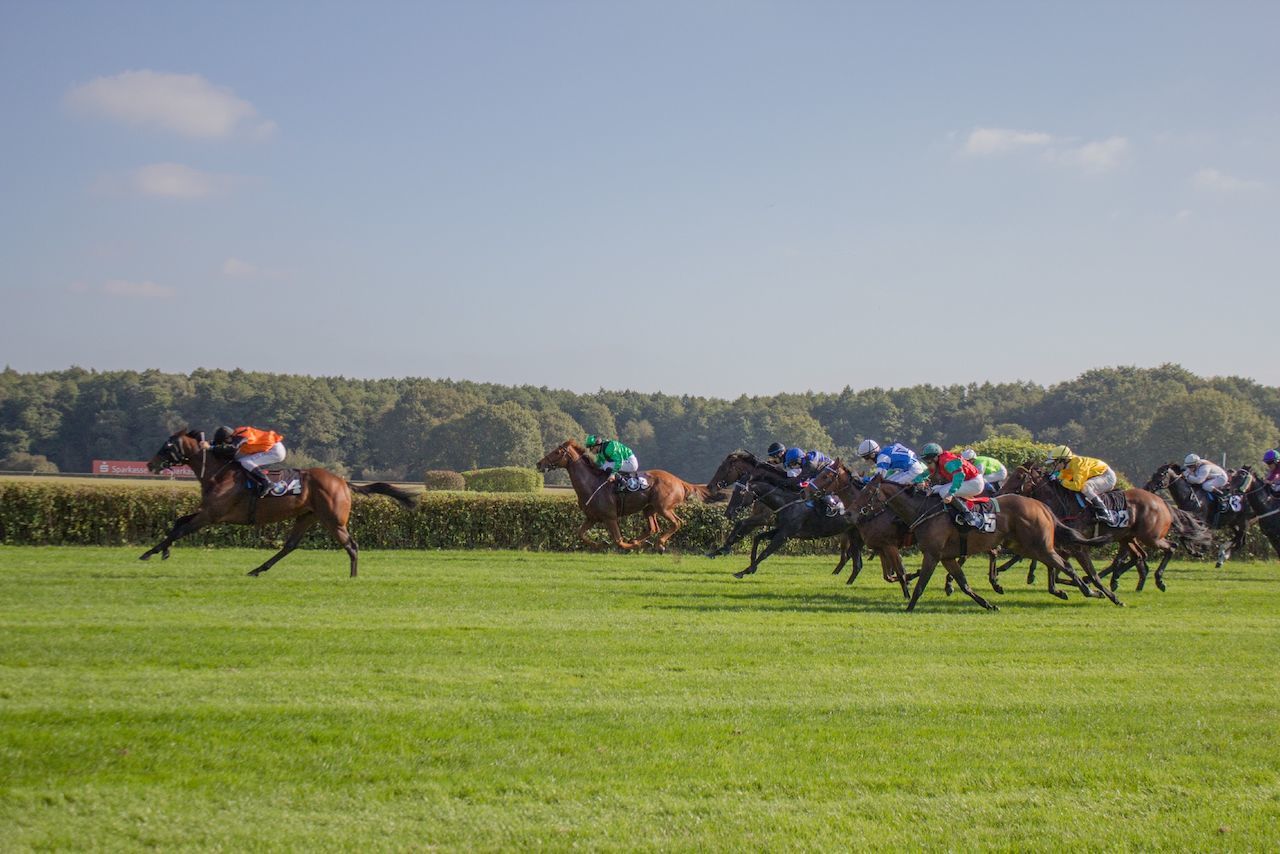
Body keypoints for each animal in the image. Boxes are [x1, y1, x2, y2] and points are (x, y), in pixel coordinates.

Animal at [140, 430, 419, 578]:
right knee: (290, 546)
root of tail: (342, 481)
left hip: (333, 520)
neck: (218, 472)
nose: (150, 465)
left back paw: (352, 576)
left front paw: (149, 552)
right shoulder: (208, 512)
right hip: (307, 516)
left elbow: (180, 529)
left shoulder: (212, 515)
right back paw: (257, 569)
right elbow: (179, 522)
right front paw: (162, 551)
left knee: (351, 546)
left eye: (167, 446)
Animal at [532, 440, 706, 555]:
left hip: (664, 507)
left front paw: (632, 546)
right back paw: (640, 541)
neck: (592, 484)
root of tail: (679, 481)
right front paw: (600, 544)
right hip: (649, 508)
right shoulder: (592, 517)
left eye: (557, 452)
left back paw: (659, 543)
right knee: (653, 527)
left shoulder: (610, 517)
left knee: (677, 522)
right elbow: (580, 533)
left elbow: (619, 541)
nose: (539, 464)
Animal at [839, 478, 1111, 612]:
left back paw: (1094, 591)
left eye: (867, 494)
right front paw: (989, 604)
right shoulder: (946, 557)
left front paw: (908, 607)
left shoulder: (932, 554)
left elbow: (920, 584)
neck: (923, 510)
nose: (849, 514)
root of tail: (1041, 505)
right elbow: (964, 584)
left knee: (1067, 564)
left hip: (1040, 545)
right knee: (1058, 563)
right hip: (1026, 546)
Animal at [998, 460, 1208, 594]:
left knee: (1170, 547)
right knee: (1139, 556)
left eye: (1019, 476)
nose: (1000, 492)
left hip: (1151, 536)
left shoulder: (1073, 543)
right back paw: (1129, 582)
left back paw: (1159, 580)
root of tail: (1162, 502)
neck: (1062, 503)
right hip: (1127, 537)